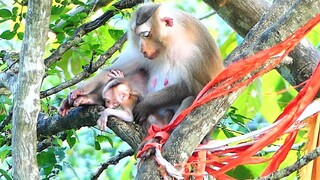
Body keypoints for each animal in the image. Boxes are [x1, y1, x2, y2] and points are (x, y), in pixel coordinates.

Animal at [58, 3, 224, 129]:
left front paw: (146, 104)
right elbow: (112, 71)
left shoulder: (195, 55)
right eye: (137, 36)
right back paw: (91, 99)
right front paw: (79, 92)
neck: (169, 44)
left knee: (190, 98)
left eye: (145, 34)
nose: (142, 49)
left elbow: (197, 89)